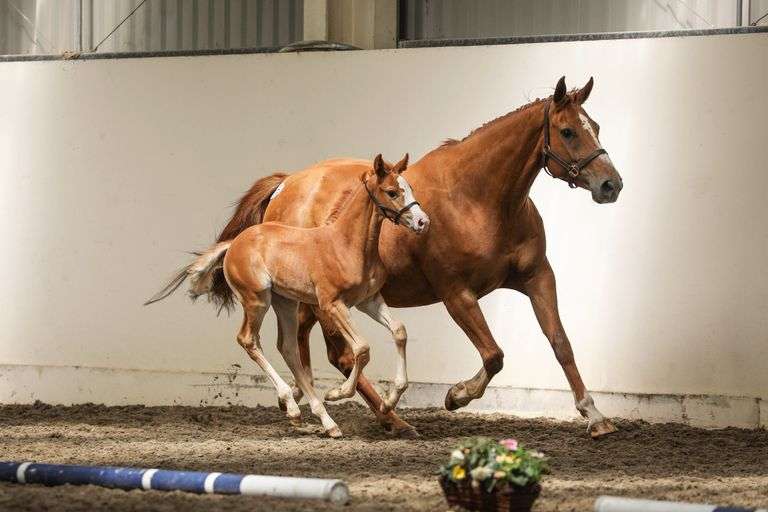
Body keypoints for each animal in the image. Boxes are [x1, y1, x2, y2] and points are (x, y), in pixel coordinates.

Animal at [146, 154, 429, 438]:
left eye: (411, 188)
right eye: (392, 192)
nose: (422, 222)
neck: (346, 244)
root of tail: (234, 243)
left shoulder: (368, 301)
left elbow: (399, 331)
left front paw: (390, 400)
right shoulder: (332, 304)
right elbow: (362, 348)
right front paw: (337, 393)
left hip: (286, 303)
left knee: (288, 348)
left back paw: (323, 420)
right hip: (257, 300)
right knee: (249, 340)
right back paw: (293, 406)